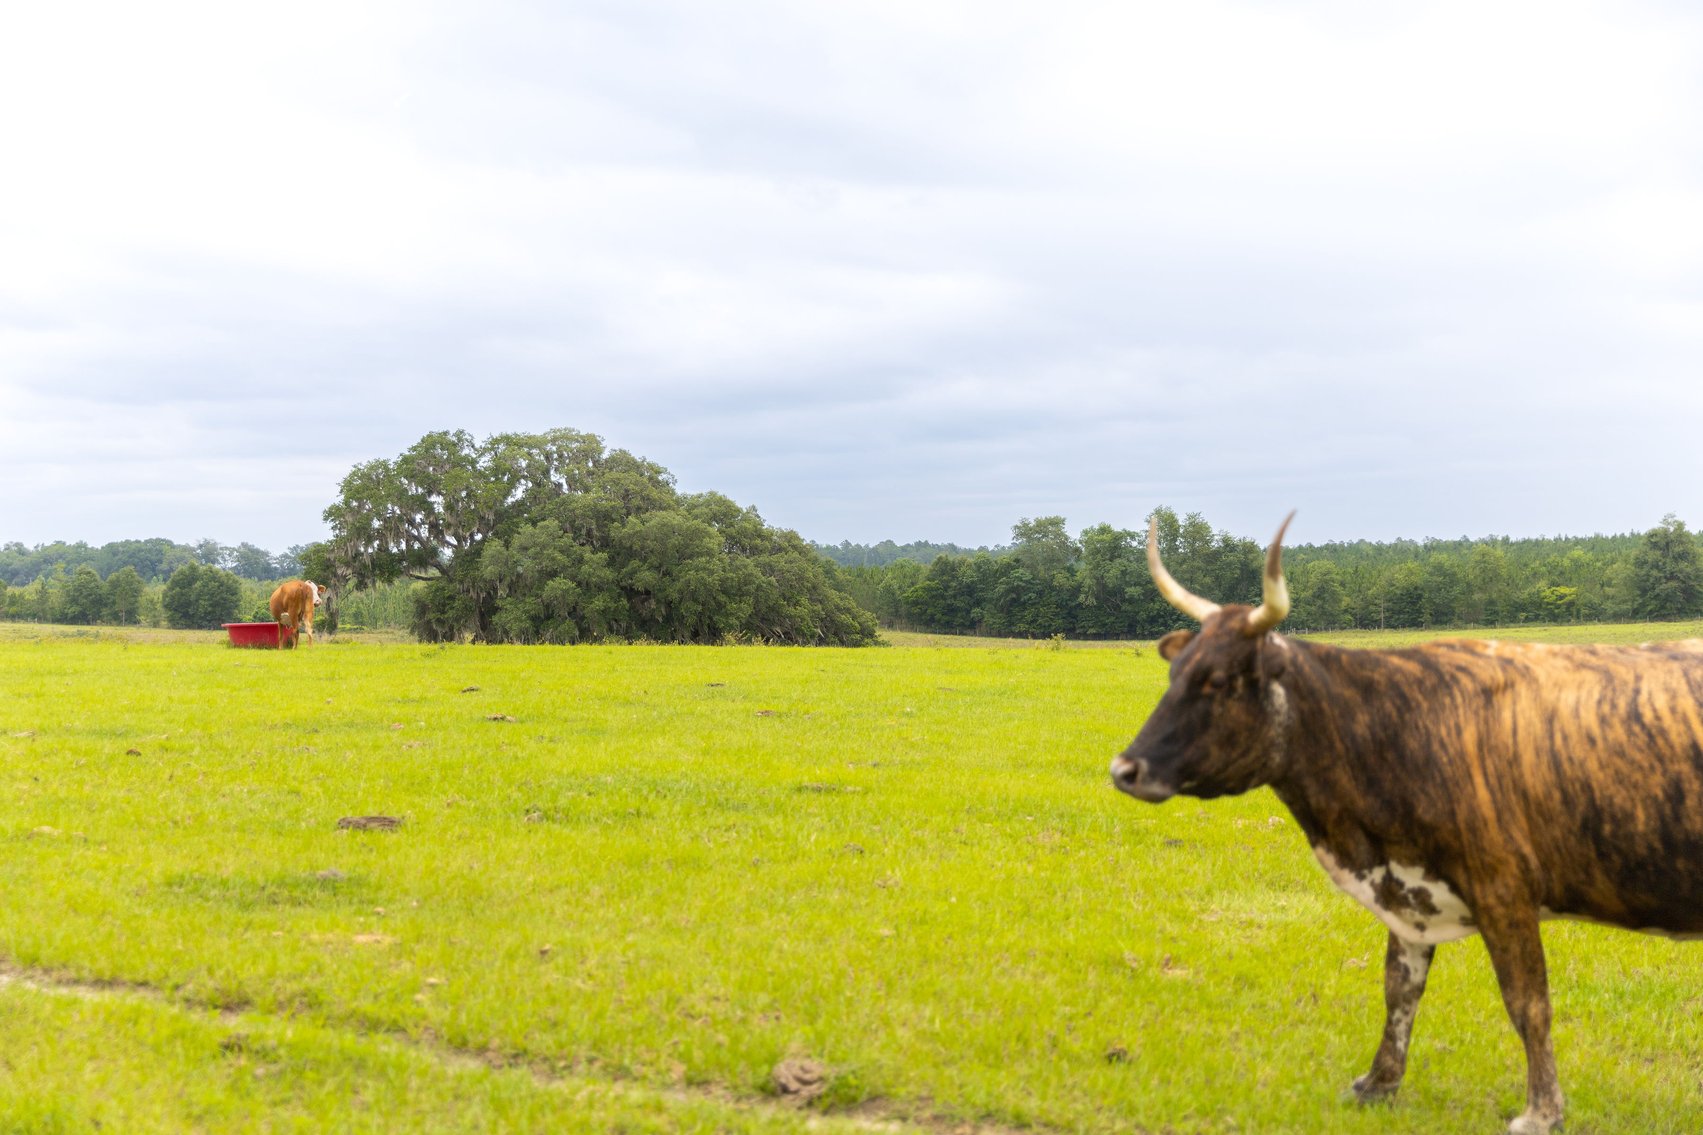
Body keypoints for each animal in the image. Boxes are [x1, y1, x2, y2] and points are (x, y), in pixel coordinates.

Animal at [1110, 513, 1703, 1135]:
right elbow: (1399, 990)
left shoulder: (1504, 889)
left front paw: (1542, 1111)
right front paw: (1378, 1083)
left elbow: (1528, 1005)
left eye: (1221, 681)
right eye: (1175, 672)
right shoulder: (1407, 889)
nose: (1125, 768)